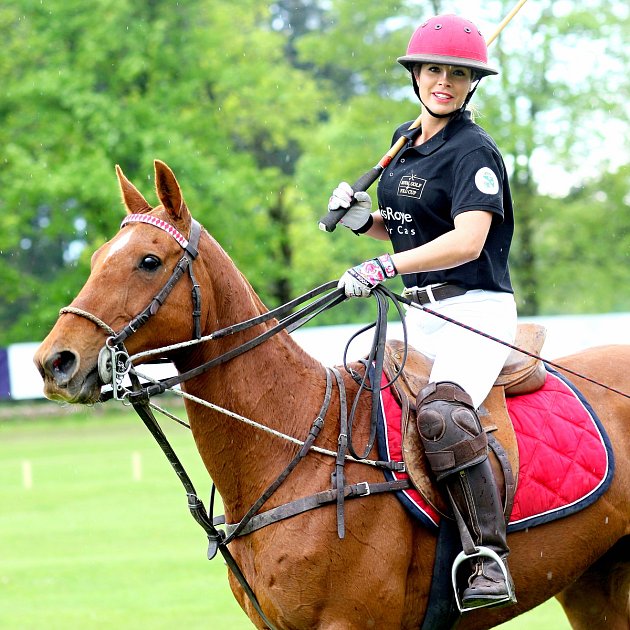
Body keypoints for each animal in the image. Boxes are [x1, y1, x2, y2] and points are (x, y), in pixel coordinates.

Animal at [35, 159, 630, 630]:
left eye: (149, 261)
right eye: (95, 257)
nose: (53, 362)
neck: (295, 439)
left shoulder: (349, 622)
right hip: (594, 580)